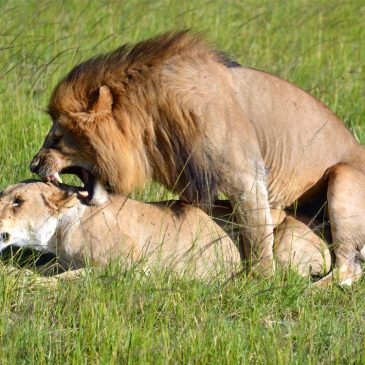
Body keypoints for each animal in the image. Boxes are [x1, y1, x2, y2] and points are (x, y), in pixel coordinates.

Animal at [29, 30, 364, 284]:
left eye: (56, 138)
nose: (33, 165)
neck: (153, 116)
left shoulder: (247, 175)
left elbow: (257, 234)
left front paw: (258, 282)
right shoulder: (193, 180)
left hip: (343, 178)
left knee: (348, 271)